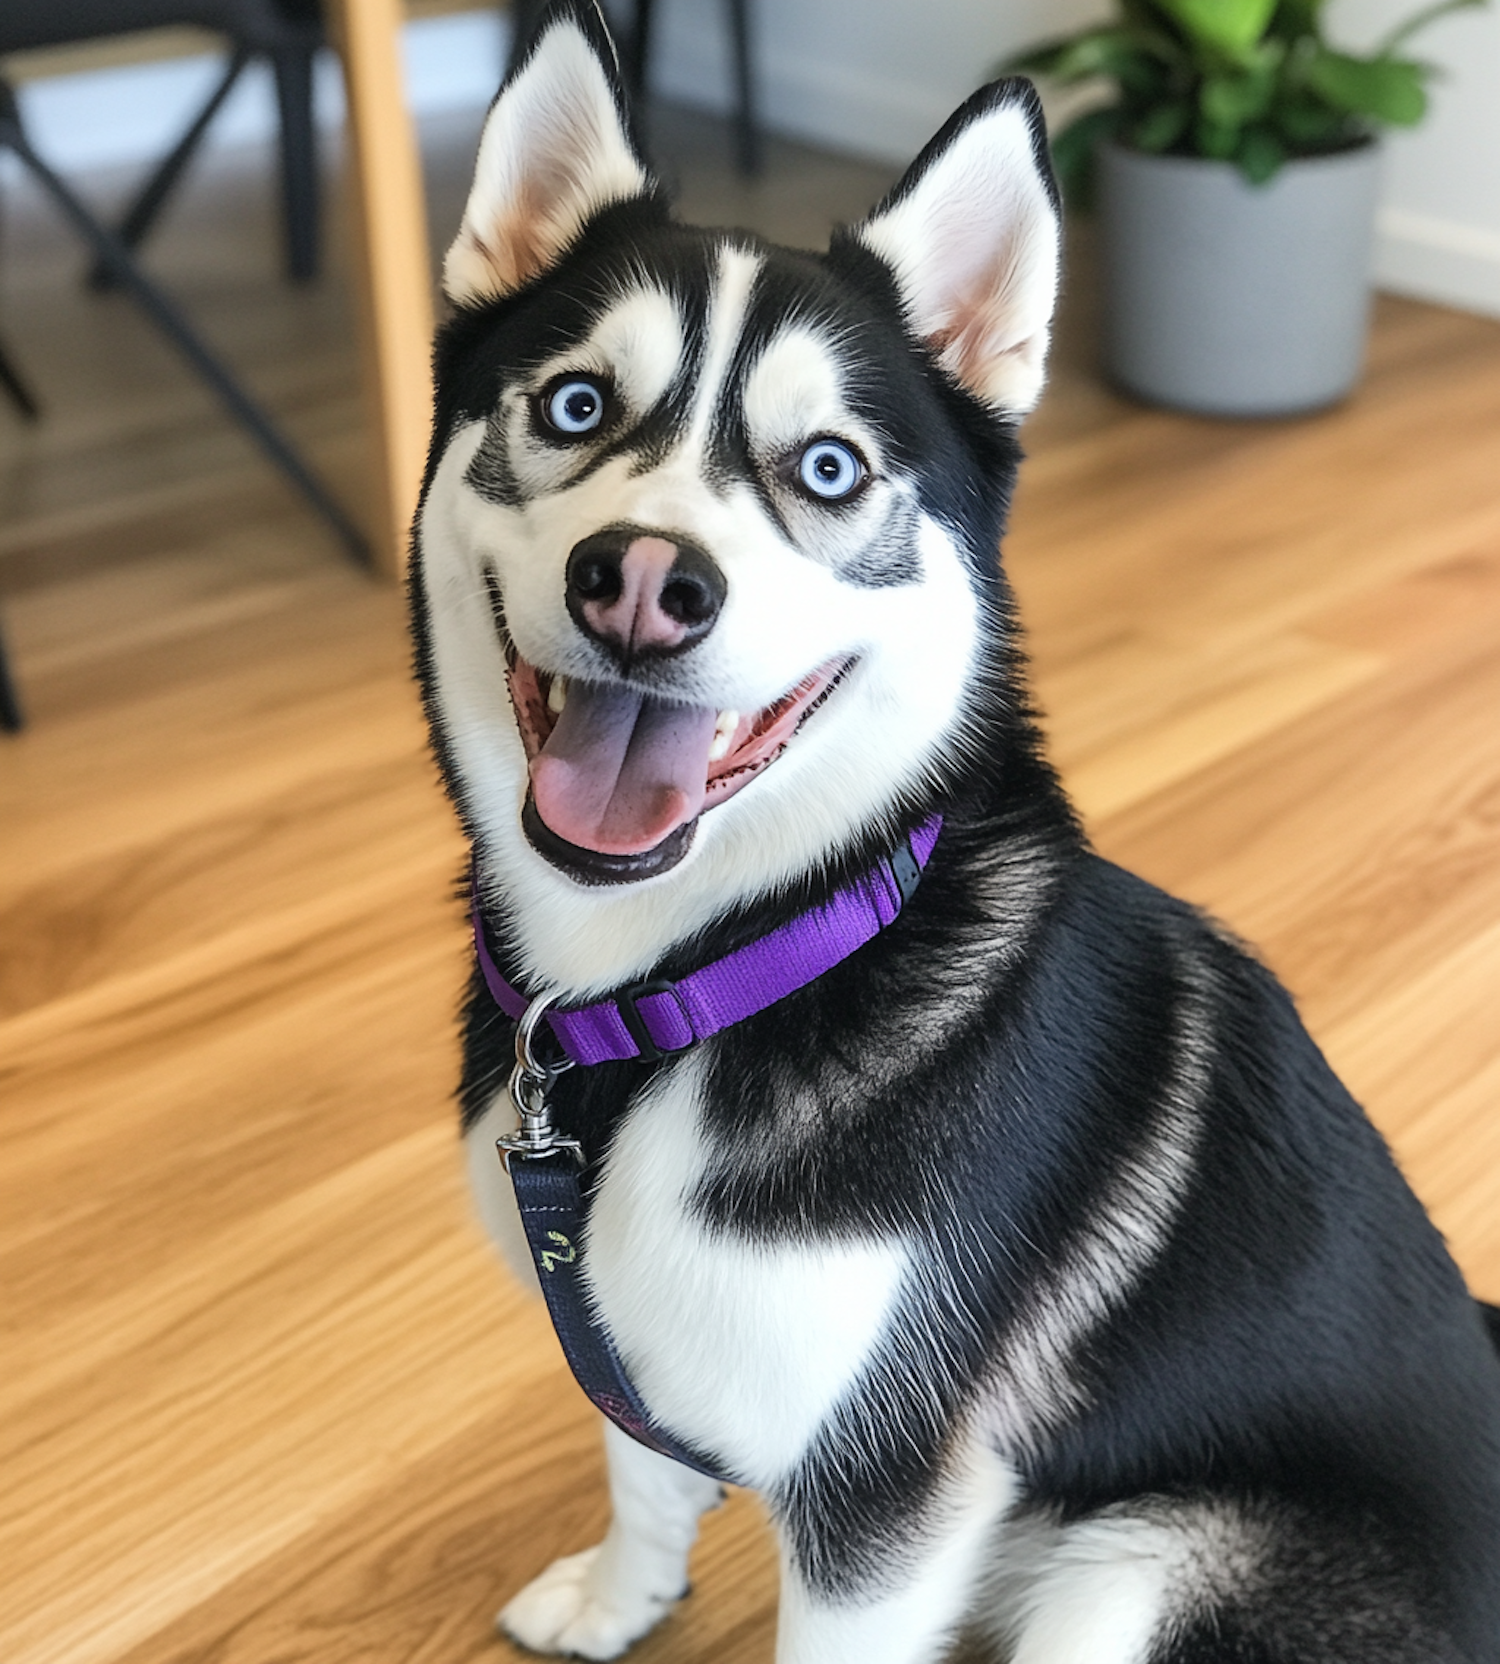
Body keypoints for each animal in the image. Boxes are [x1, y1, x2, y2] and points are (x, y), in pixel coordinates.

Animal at [409, 6, 1498, 1657]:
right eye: (575, 406)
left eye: (829, 468)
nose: (644, 580)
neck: (689, 990)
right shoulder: (632, 1335)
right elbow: (643, 1471)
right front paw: (619, 1597)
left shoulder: (881, 1504)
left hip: (1136, 1574)